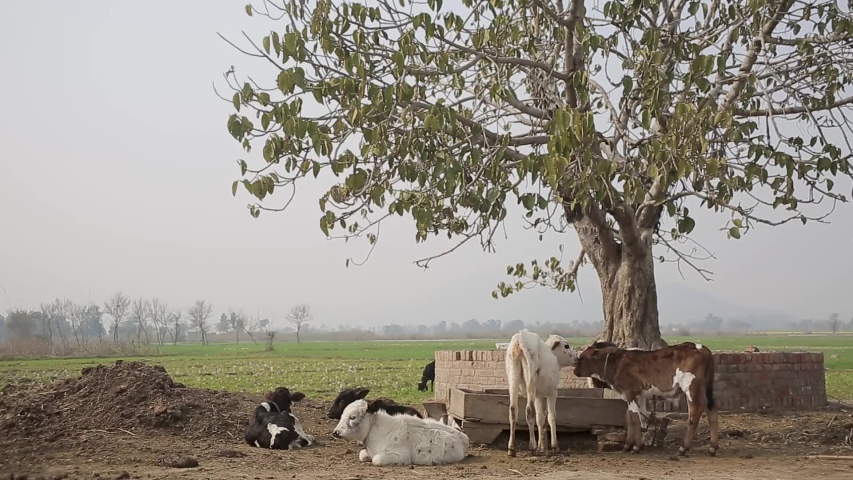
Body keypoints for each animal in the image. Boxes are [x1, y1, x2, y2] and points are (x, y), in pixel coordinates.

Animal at [332, 400, 470, 466]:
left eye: (352, 417)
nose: (335, 432)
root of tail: (463, 437)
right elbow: (362, 455)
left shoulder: (400, 456)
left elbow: (376, 459)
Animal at [502, 328, 576, 456]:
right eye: (566, 346)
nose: (577, 358)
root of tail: (520, 338)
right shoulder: (552, 393)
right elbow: (551, 417)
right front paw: (554, 446)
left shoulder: (539, 396)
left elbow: (540, 418)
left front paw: (542, 447)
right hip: (530, 376)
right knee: (529, 410)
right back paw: (532, 446)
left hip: (513, 375)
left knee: (513, 410)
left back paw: (511, 448)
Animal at [572, 340, 720, 456]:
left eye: (583, 357)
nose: (575, 371)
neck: (617, 362)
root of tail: (703, 348)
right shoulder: (637, 395)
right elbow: (633, 417)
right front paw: (630, 445)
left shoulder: (629, 392)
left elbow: (634, 418)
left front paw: (636, 447)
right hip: (704, 388)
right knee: (711, 409)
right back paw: (712, 448)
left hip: (691, 387)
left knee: (695, 412)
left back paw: (683, 448)